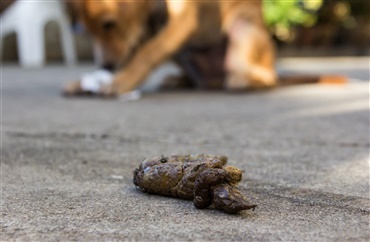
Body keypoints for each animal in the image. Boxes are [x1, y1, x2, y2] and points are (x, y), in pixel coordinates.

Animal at [63, 0, 278, 96]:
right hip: (181, 51)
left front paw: (119, 82)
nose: (106, 66)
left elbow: (147, 53)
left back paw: (244, 80)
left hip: (244, 26)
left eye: (109, 24)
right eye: (86, 30)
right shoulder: (144, 27)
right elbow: (137, 54)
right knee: (198, 80)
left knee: (265, 78)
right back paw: (179, 80)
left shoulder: (183, 17)